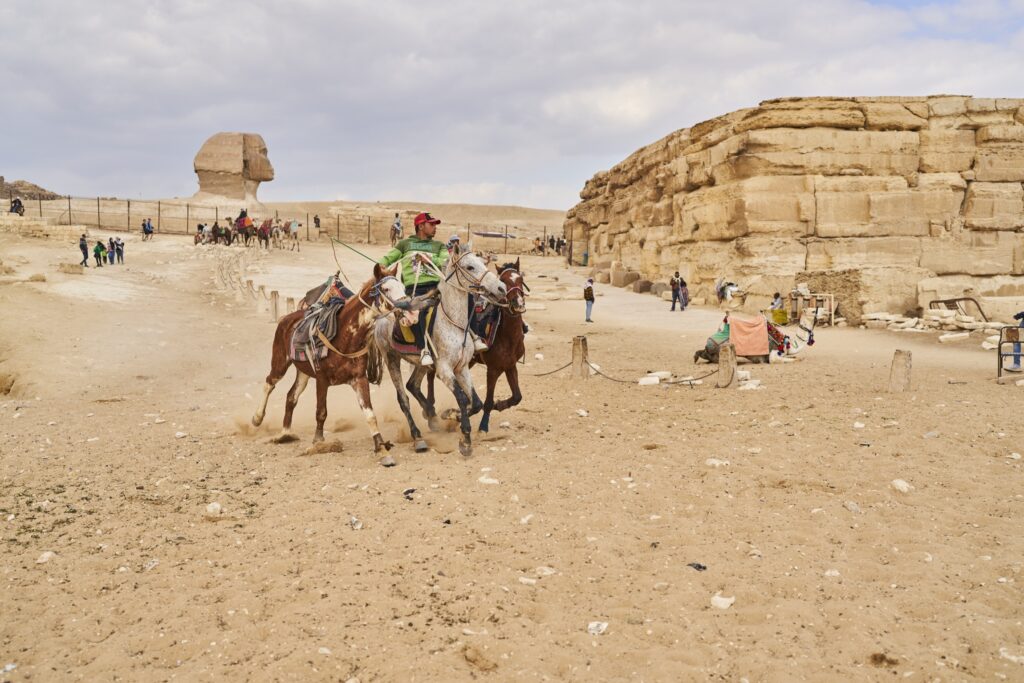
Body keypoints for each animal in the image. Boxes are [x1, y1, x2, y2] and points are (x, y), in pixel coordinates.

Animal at [249, 264, 413, 456]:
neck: (344, 336)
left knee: (291, 396)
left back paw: (285, 433)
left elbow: (370, 414)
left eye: (403, 287)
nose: (410, 313)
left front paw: (379, 444)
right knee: (269, 383)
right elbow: (321, 411)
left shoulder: (359, 379)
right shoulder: (322, 379)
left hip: (303, 372)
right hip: (280, 362)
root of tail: (287, 319)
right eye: (386, 289)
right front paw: (318, 441)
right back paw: (257, 418)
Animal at [372, 245, 507, 458]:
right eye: (470, 266)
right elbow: (462, 397)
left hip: (421, 363)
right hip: (390, 358)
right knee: (403, 398)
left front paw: (451, 415)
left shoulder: (462, 368)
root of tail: (382, 315)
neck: (453, 323)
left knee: (412, 385)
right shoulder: (445, 370)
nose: (501, 288)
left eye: (482, 262)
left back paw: (432, 417)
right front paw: (465, 441)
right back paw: (418, 437)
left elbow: (476, 402)